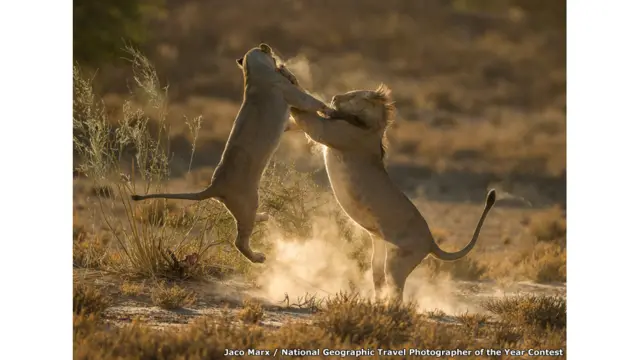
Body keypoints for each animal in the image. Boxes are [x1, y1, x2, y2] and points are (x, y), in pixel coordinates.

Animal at [132, 44, 338, 264]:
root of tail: (213, 187)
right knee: (239, 240)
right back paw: (258, 257)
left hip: (240, 205)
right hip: (248, 201)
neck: (251, 73)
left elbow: (293, 122)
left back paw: (263, 217)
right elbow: (313, 102)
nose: (277, 58)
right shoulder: (291, 94)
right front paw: (329, 110)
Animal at [288, 84, 496, 300]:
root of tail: (431, 242)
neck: (368, 126)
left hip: (398, 261)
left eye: (352, 96)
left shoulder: (333, 133)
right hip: (379, 255)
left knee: (397, 293)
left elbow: (309, 120)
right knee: (379, 282)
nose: (335, 97)